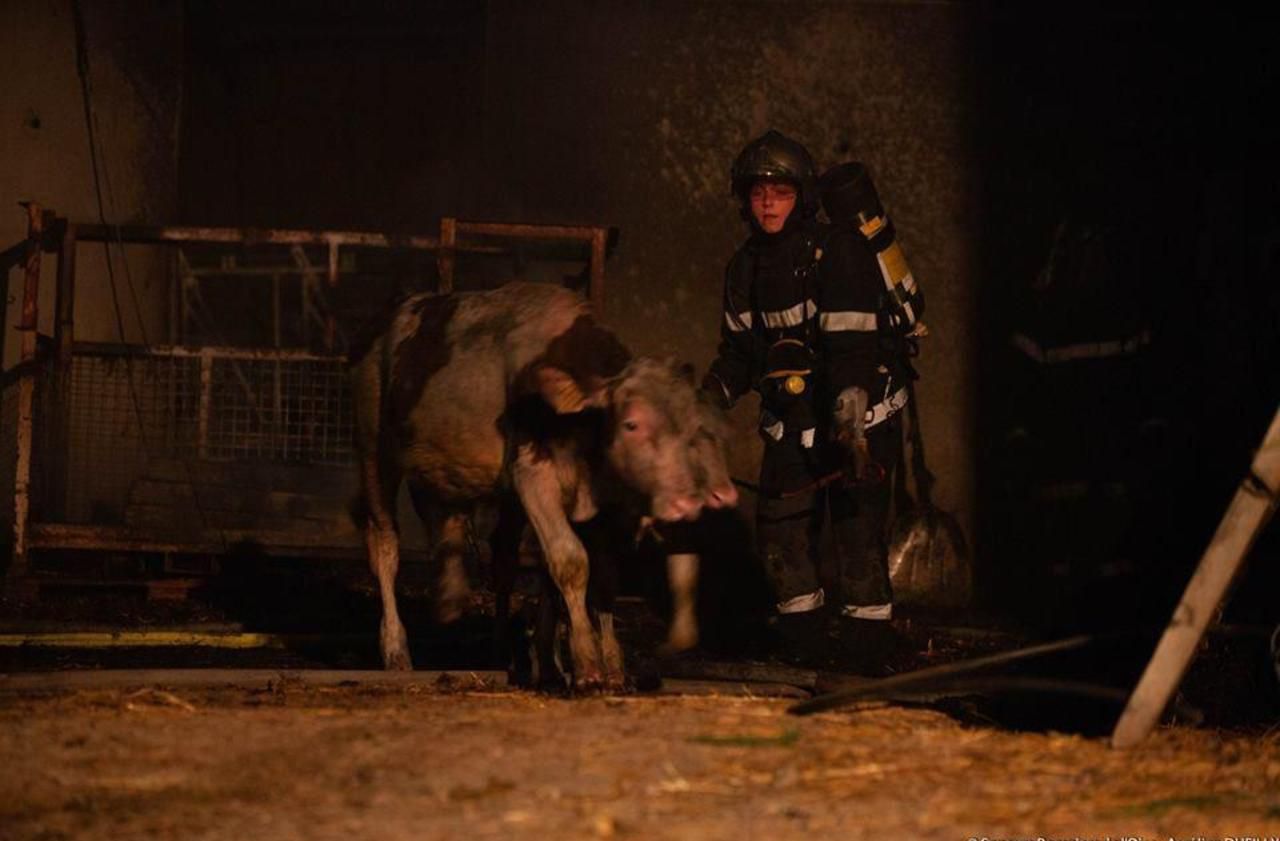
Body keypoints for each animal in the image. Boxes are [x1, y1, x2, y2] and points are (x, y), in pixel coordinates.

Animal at [350, 281, 742, 691]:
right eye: (632, 424)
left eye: (694, 428)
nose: (687, 503)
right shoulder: (534, 478)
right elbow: (569, 560)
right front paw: (586, 664)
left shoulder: (601, 505)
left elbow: (595, 579)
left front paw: (588, 664)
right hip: (374, 450)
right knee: (385, 544)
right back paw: (396, 649)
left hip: (442, 469)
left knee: (462, 533)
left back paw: (454, 605)